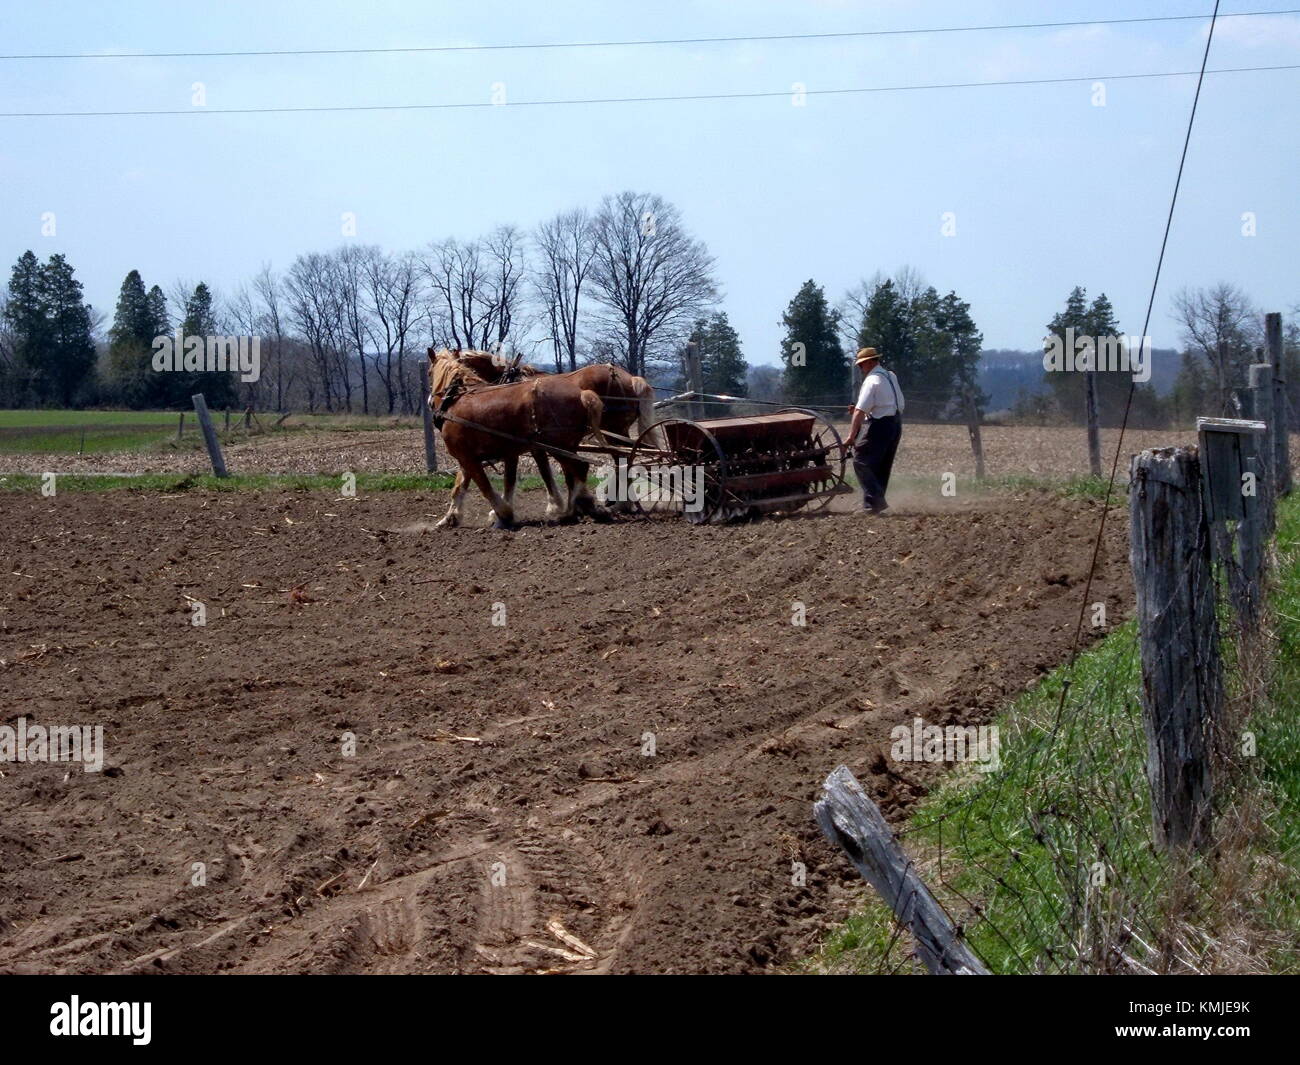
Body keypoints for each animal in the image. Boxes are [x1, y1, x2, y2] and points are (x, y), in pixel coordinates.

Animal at [428, 351, 605, 530]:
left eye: (429, 373)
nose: (429, 401)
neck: (454, 401)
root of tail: (582, 394)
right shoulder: (473, 457)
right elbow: (460, 486)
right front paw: (449, 518)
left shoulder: (469, 457)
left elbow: (487, 487)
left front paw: (503, 515)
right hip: (566, 447)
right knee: (575, 471)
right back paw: (577, 507)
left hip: (558, 446)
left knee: (580, 468)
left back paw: (574, 508)